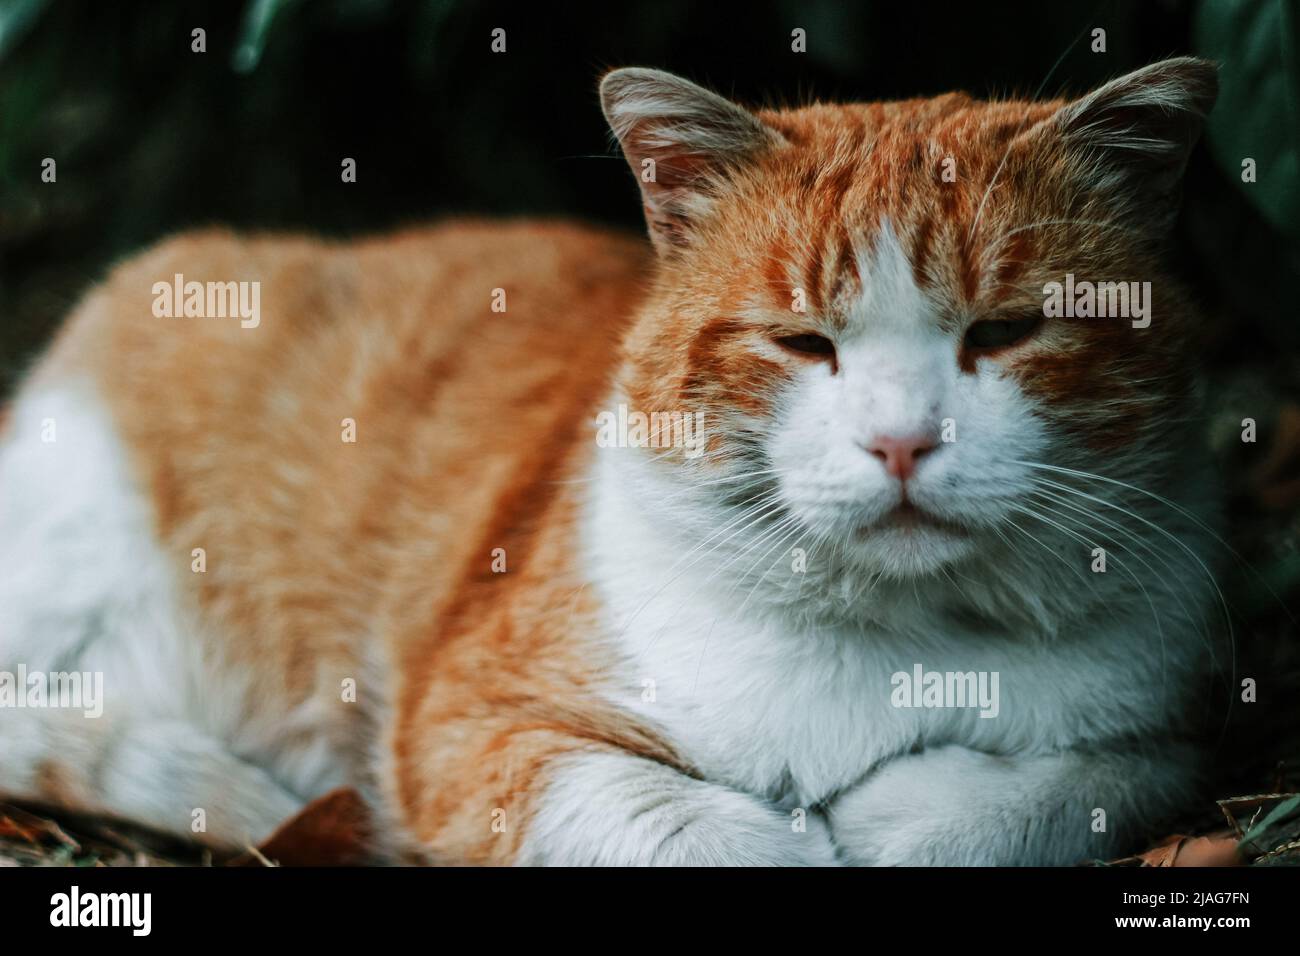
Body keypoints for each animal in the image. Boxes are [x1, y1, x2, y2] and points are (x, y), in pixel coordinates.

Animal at [0, 59, 1222, 868]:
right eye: (801, 342)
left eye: (1006, 332)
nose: (902, 440)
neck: (900, 634)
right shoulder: (471, 729)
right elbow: (691, 828)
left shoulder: (1171, 726)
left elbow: (1060, 789)